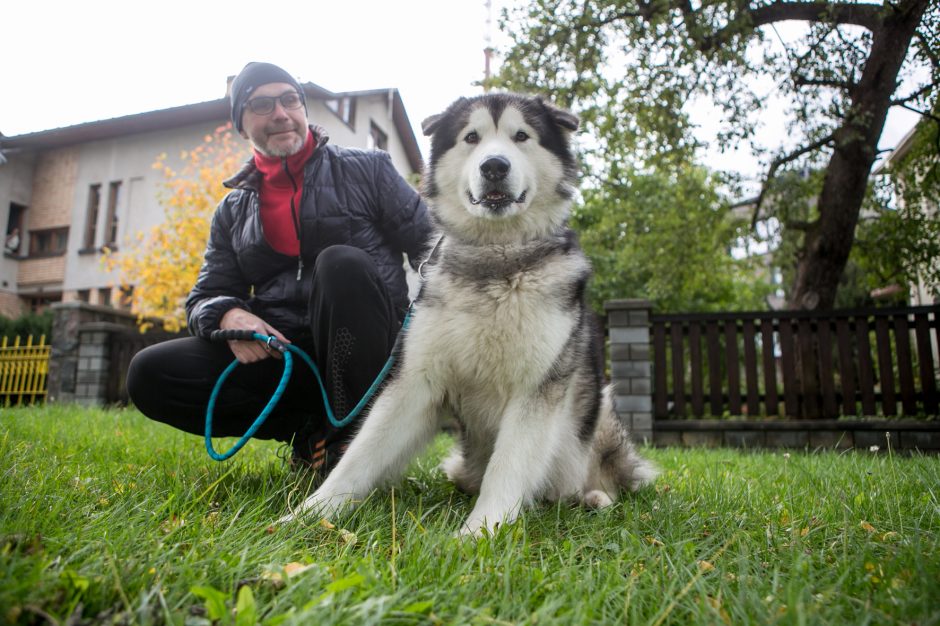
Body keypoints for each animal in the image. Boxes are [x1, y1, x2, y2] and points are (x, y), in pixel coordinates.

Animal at [282, 94, 656, 536]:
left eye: (521, 136)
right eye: (472, 137)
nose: (494, 165)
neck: (494, 261)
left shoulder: (536, 387)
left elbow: (508, 465)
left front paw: (481, 531)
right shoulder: (415, 381)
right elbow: (361, 453)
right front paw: (310, 513)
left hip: (600, 410)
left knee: (605, 476)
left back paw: (595, 497)